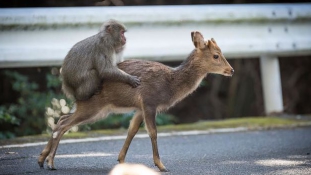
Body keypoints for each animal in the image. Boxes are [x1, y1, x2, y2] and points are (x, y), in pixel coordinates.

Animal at [37, 30, 234, 172]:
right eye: (216, 55)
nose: (231, 70)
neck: (170, 84)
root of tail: (74, 89)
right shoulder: (149, 101)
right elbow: (153, 132)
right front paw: (161, 165)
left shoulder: (139, 108)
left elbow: (131, 130)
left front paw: (121, 160)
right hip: (93, 106)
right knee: (63, 124)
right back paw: (51, 162)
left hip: (95, 109)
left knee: (61, 119)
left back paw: (41, 159)